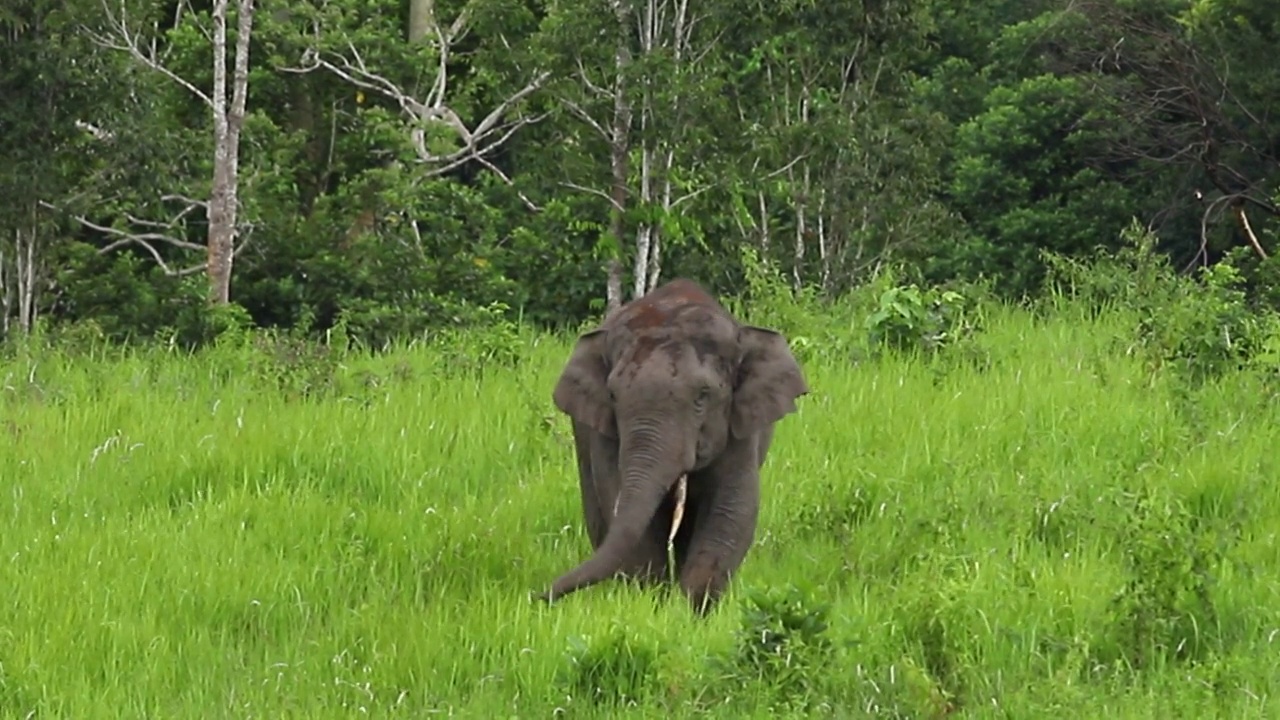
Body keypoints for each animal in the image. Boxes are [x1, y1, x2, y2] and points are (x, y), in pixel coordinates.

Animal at [535, 278, 803, 614]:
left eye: (703, 395)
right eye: (613, 396)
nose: (539, 597)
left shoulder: (740, 429)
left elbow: (730, 508)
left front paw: (689, 613)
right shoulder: (605, 433)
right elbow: (623, 503)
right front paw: (651, 605)